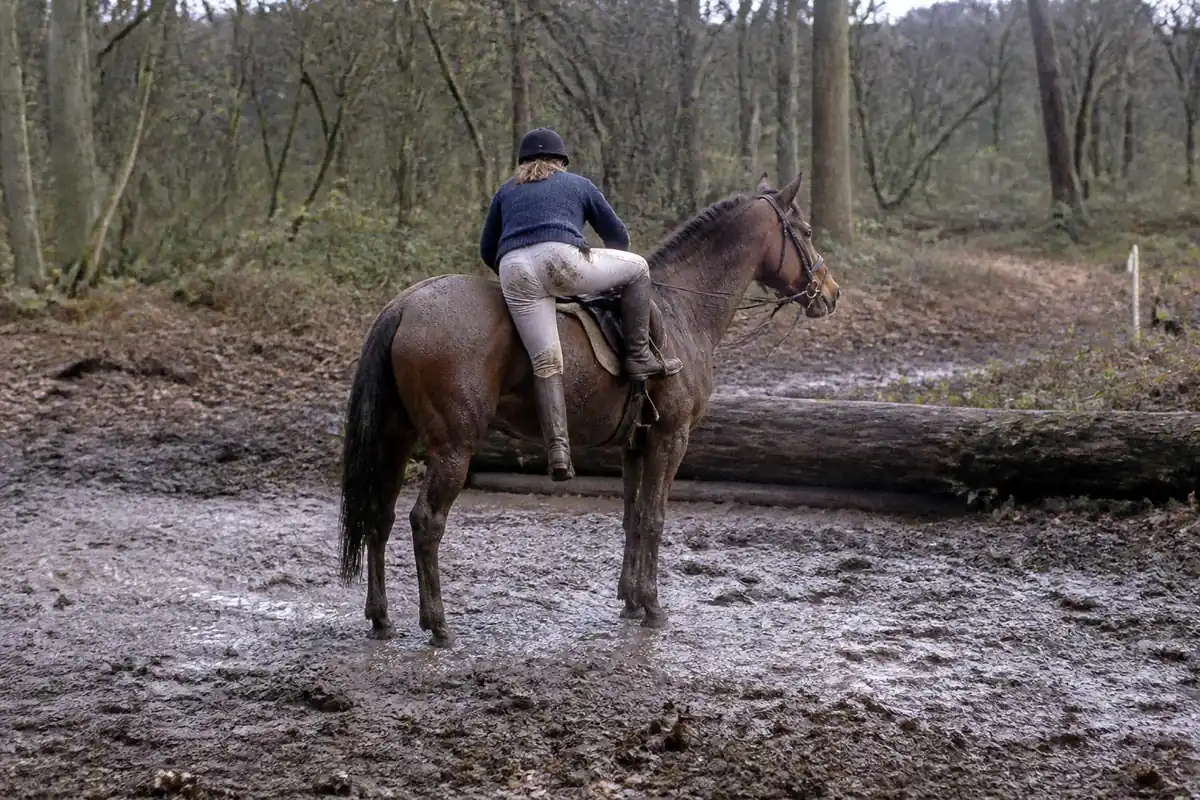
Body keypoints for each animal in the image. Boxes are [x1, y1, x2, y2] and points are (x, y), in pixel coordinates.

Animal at [337, 171, 841, 647]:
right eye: (806, 231)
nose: (830, 292)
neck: (683, 308)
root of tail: (404, 305)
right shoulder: (670, 438)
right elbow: (654, 518)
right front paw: (652, 606)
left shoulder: (635, 443)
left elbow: (633, 517)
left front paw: (631, 601)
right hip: (452, 448)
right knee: (426, 522)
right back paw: (438, 624)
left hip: (396, 439)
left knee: (379, 516)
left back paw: (381, 618)